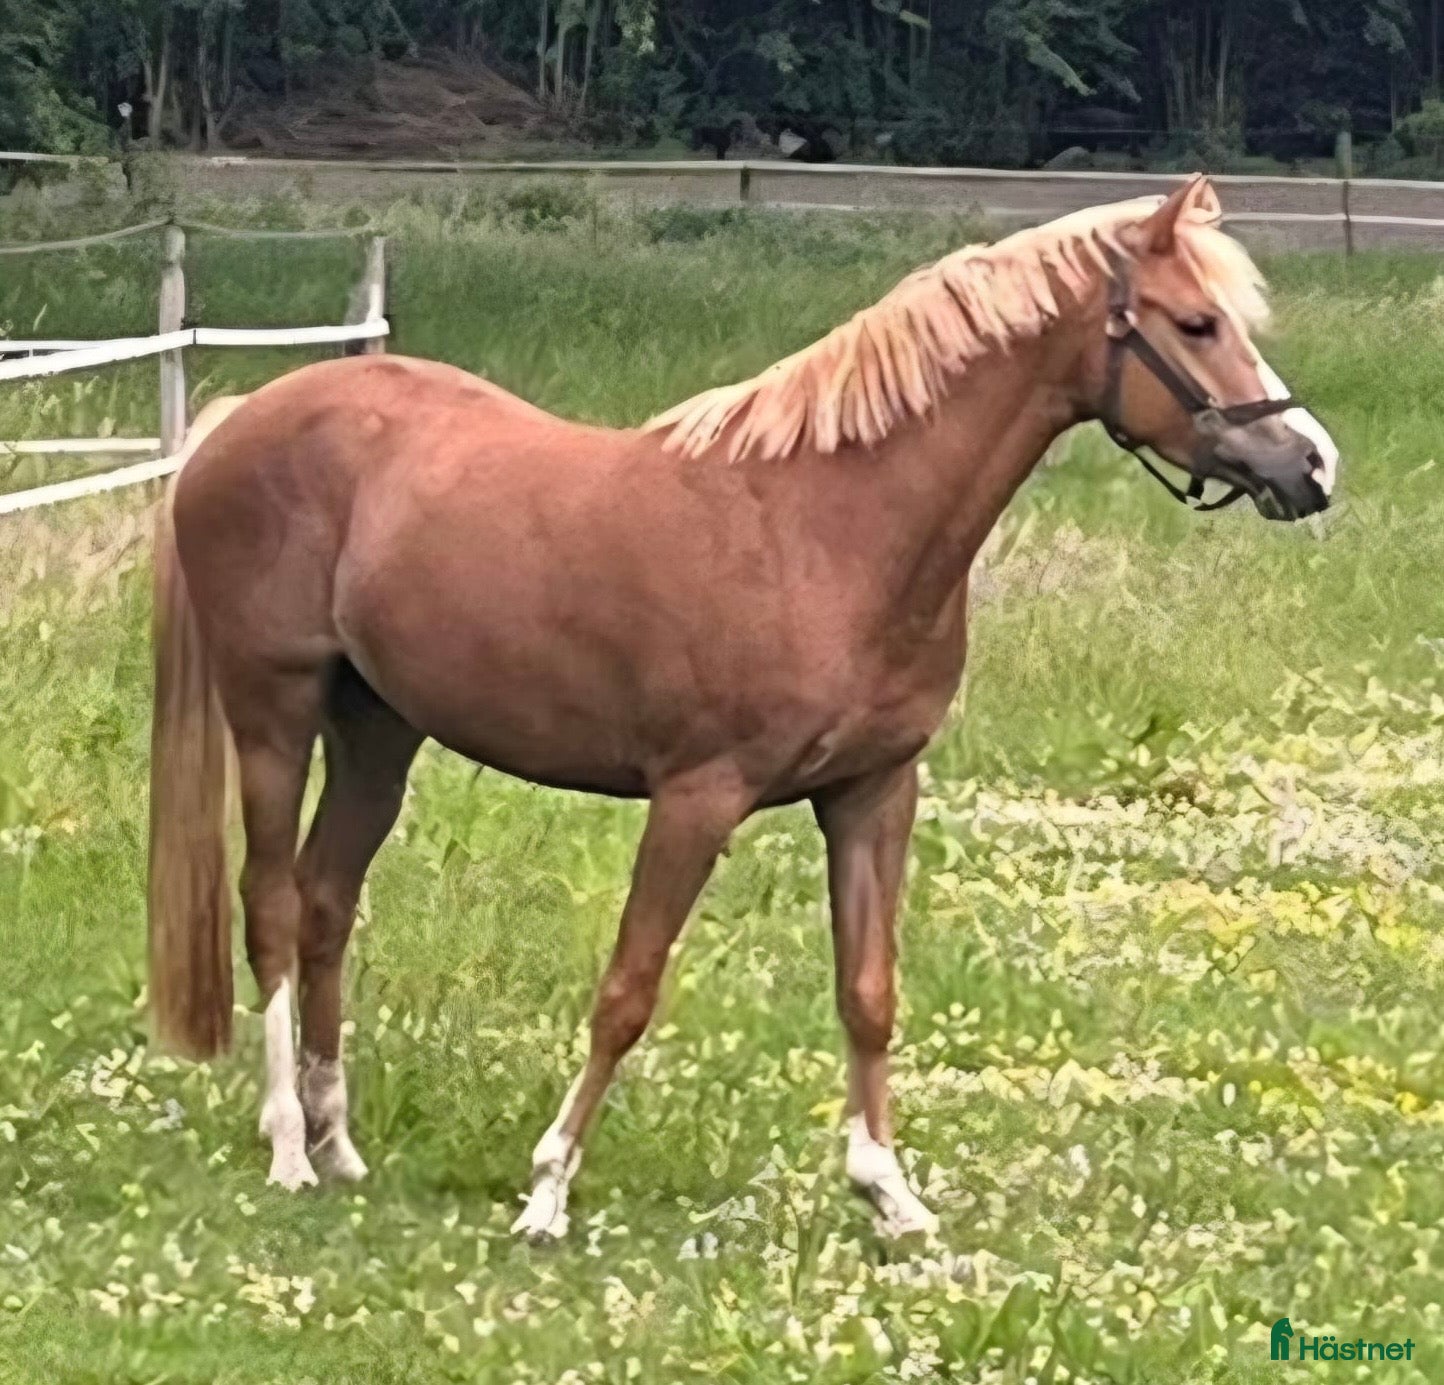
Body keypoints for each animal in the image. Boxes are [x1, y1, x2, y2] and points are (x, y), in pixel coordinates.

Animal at [147, 175, 1340, 1242]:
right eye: (1197, 322)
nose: (1313, 464)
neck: (827, 527)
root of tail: (237, 421)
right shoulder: (696, 799)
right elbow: (627, 988)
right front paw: (547, 1193)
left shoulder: (872, 793)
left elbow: (868, 990)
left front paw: (889, 1194)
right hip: (275, 710)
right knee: (270, 904)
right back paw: (290, 1148)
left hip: (379, 730)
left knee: (326, 902)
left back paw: (340, 1141)